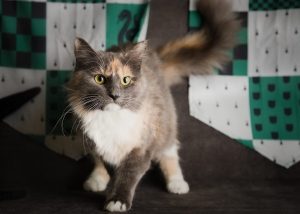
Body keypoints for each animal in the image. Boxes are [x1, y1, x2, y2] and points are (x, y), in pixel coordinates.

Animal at [65, 0, 239, 211]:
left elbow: (127, 175)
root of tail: (155, 60)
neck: (111, 120)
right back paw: (95, 180)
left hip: (166, 125)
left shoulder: (141, 147)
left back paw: (177, 183)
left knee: (170, 152)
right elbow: (107, 165)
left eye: (125, 80)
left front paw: (117, 201)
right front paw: (108, 188)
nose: (114, 95)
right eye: (99, 79)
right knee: (97, 161)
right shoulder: (98, 144)